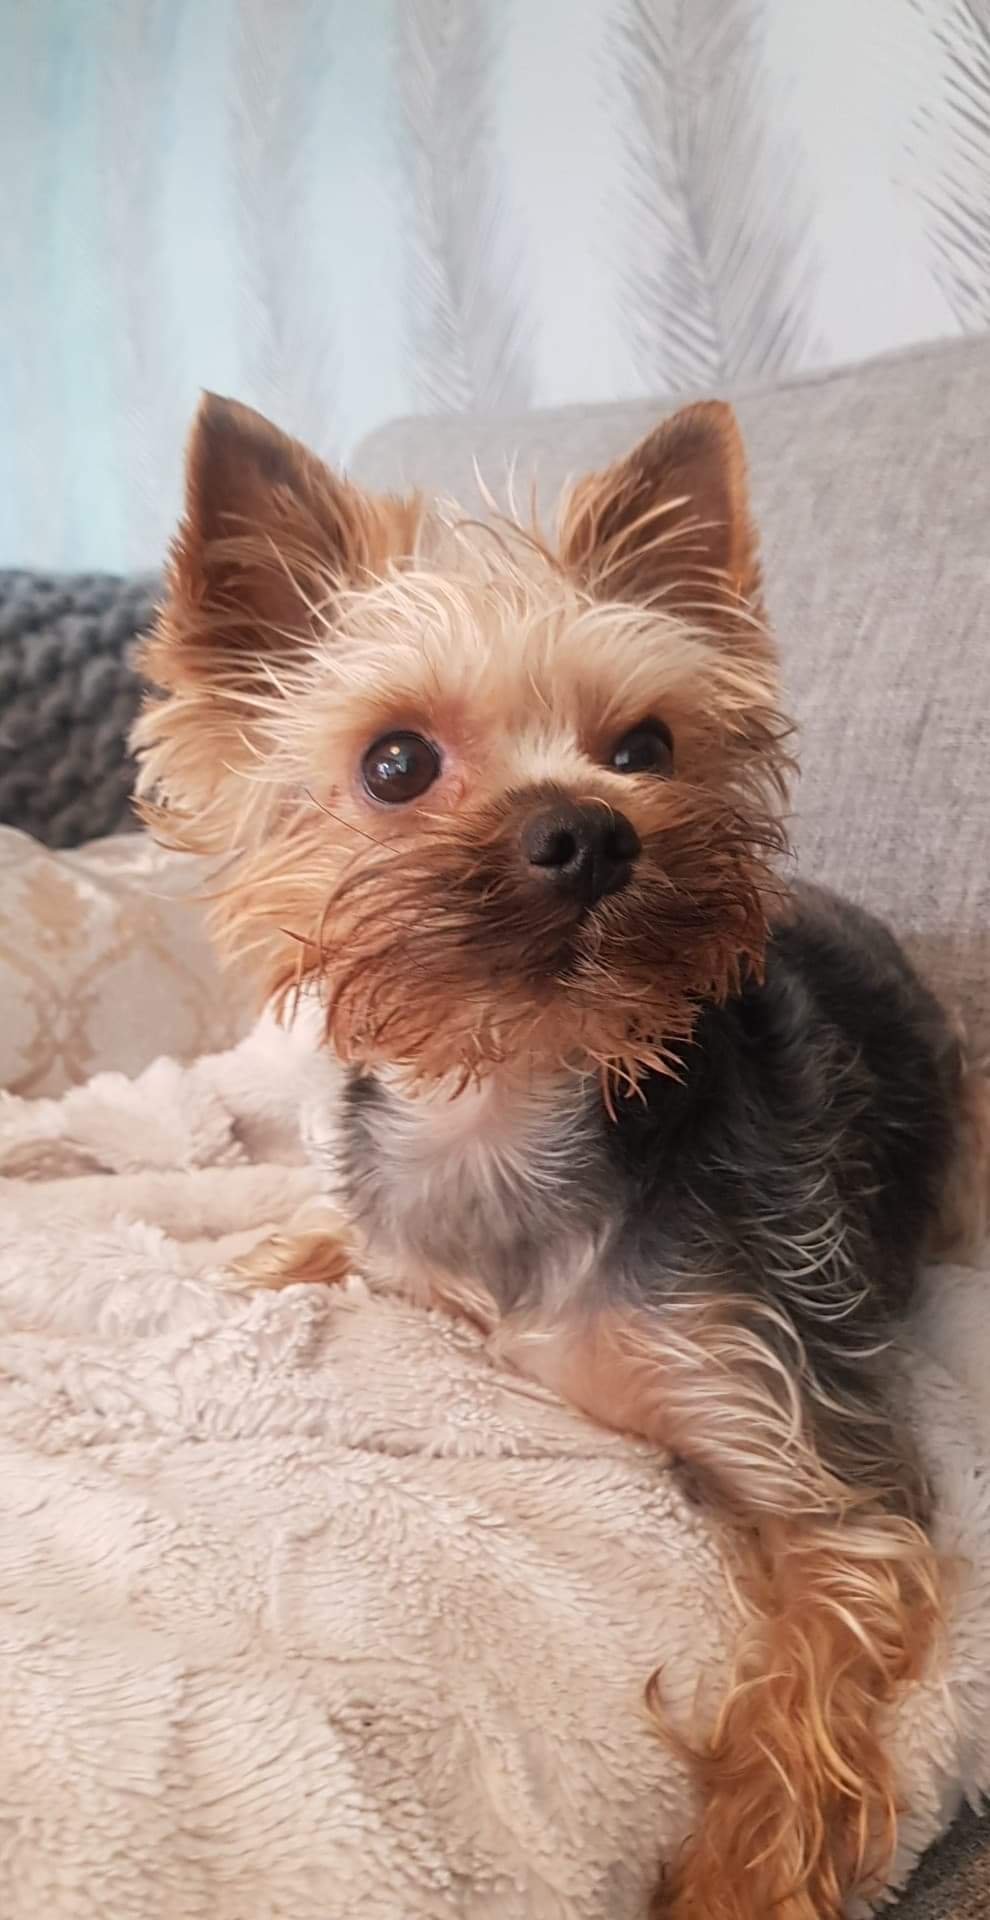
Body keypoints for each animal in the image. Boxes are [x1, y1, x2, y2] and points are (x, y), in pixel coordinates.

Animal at [133, 391, 990, 1918]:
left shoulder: (812, 1452)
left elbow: (802, 1692)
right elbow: (316, 1235)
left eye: (644, 745)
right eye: (395, 763)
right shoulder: (389, 1229)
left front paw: (736, 1879)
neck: (508, 1104)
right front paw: (237, 1264)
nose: (587, 828)